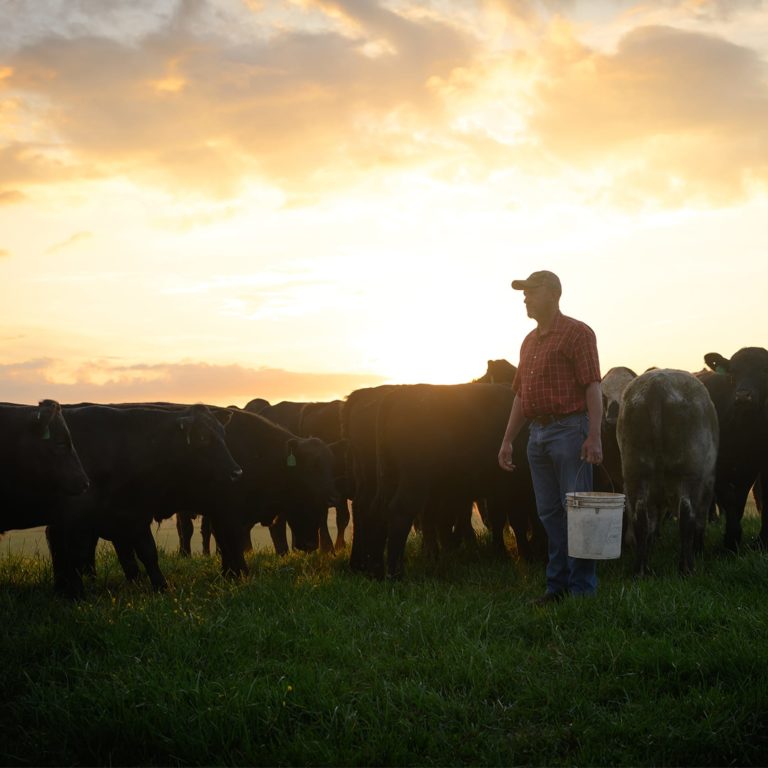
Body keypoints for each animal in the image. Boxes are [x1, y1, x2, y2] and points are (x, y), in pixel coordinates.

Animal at [45, 402, 243, 600]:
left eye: (223, 434)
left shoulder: (134, 515)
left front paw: (160, 586)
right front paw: (78, 595)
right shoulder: (80, 520)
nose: (236, 472)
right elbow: (77, 556)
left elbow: (147, 552)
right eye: (202, 437)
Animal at [616, 368, 720, 572]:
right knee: (687, 515)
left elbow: (651, 523)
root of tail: (656, 388)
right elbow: (700, 519)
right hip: (689, 469)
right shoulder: (708, 482)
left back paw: (641, 569)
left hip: (634, 470)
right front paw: (698, 549)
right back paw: (686, 568)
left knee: (640, 516)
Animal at [700, 348, 768, 552]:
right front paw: (731, 540)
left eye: (764, 370)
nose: (743, 396)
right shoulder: (718, 465)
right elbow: (729, 499)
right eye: (733, 373)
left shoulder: (754, 466)